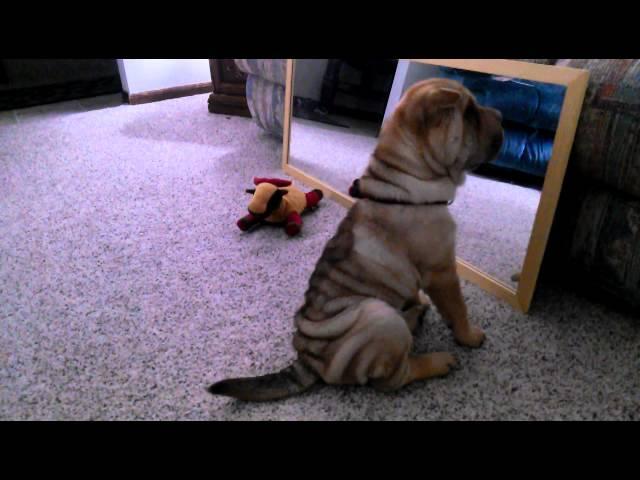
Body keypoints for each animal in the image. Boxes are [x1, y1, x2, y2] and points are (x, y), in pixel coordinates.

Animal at [208, 79, 502, 402]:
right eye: (470, 112)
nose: (502, 115)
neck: (405, 180)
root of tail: (307, 359)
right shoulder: (443, 271)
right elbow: (458, 308)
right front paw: (469, 335)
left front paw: (421, 302)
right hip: (380, 318)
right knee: (393, 378)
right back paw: (437, 360)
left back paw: (414, 314)